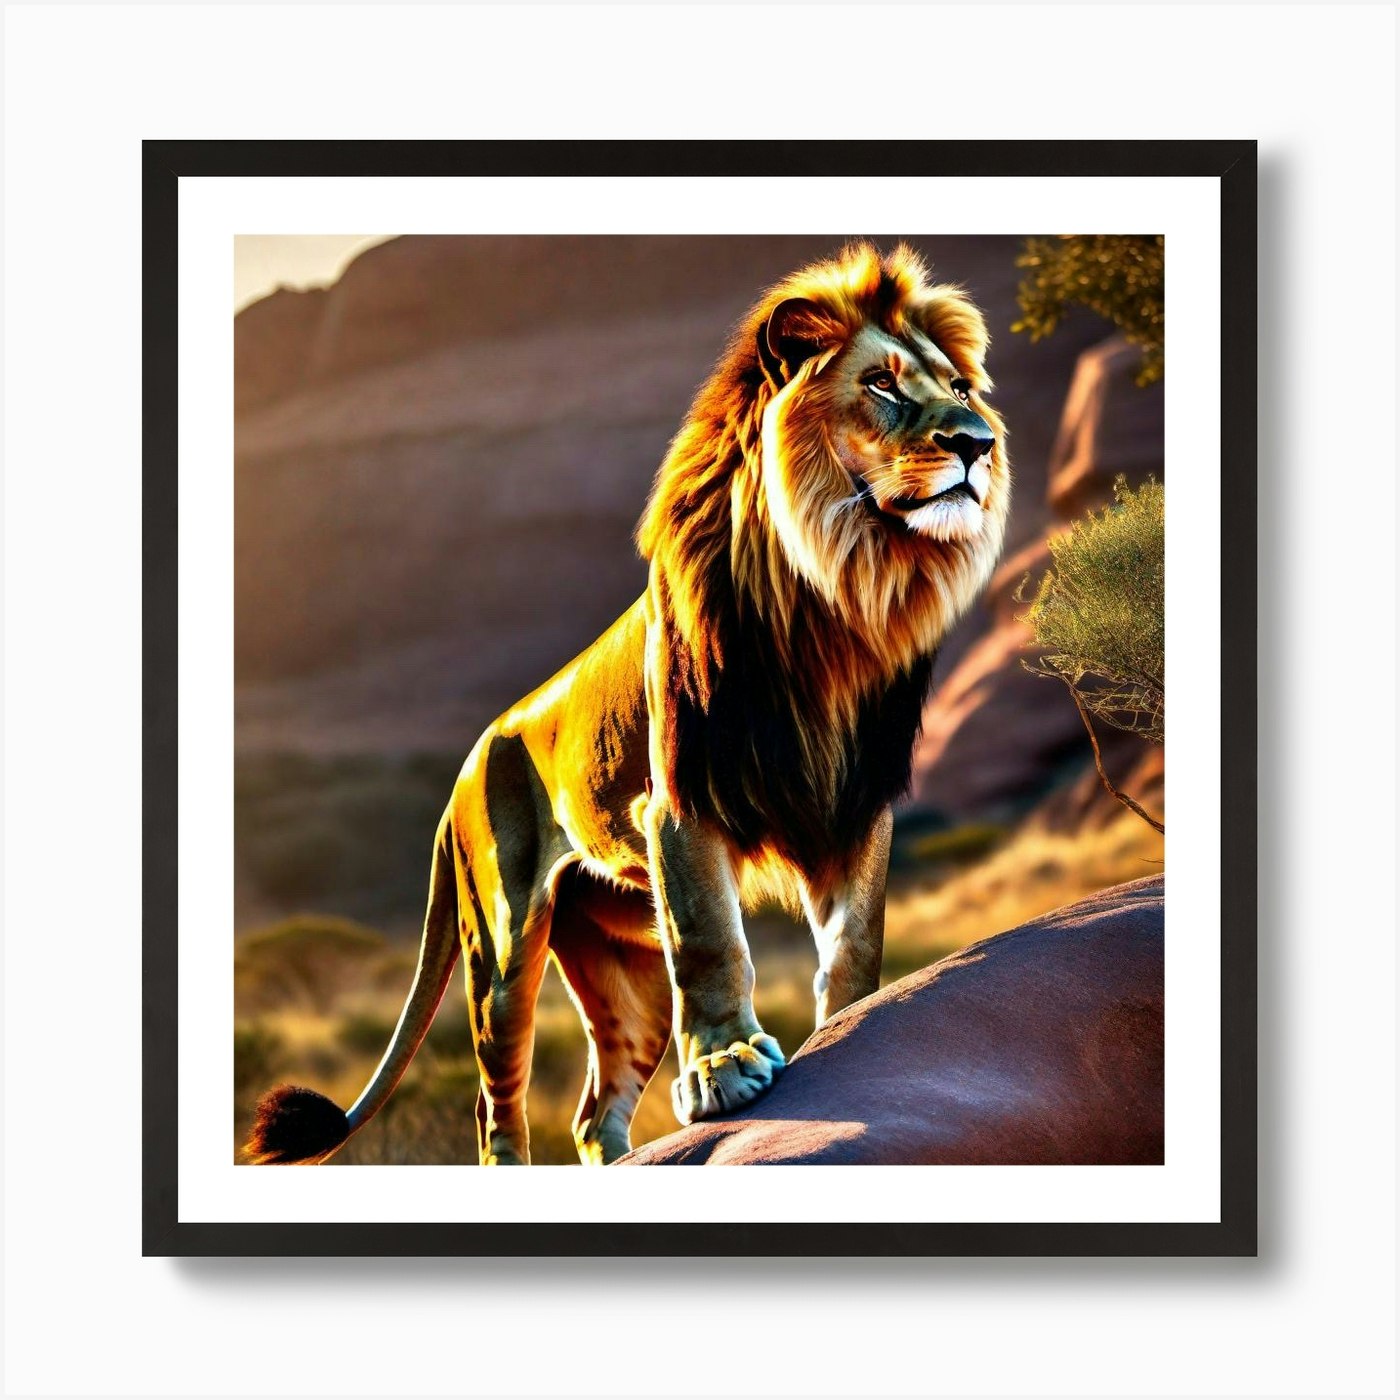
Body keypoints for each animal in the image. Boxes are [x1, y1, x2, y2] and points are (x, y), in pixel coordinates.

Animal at [245, 242, 1010, 1167]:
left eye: (961, 389)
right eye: (882, 384)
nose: (976, 442)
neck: (831, 594)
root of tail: (462, 772)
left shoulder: (854, 800)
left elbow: (854, 946)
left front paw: (852, 1027)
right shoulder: (682, 801)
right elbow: (714, 941)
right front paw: (724, 1067)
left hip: (624, 965)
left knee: (592, 1109)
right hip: (503, 947)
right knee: (496, 1110)